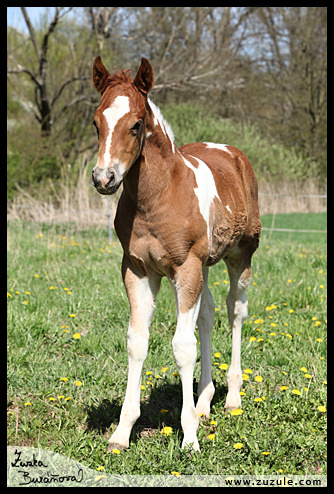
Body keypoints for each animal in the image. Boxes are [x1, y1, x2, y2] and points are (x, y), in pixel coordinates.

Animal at [90, 57, 260, 452]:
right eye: (96, 122)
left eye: (136, 124)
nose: (104, 179)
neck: (158, 196)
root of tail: (231, 151)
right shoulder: (137, 270)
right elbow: (137, 342)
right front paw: (122, 432)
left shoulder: (186, 268)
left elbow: (183, 347)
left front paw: (190, 438)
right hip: (205, 266)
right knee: (208, 315)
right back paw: (204, 402)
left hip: (239, 255)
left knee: (235, 310)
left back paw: (232, 398)